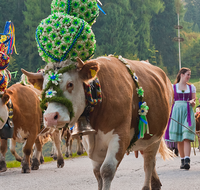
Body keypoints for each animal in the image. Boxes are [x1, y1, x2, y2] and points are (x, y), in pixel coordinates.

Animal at [22, 55, 173, 190]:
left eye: (70, 84)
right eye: (44, 89)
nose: (50, 117)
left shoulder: (120, 136)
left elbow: (106, 170)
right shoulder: (89, 141)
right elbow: (97, 173)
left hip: (155, 137)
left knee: (149, 162)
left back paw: (148, 186)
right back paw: (155, 183)